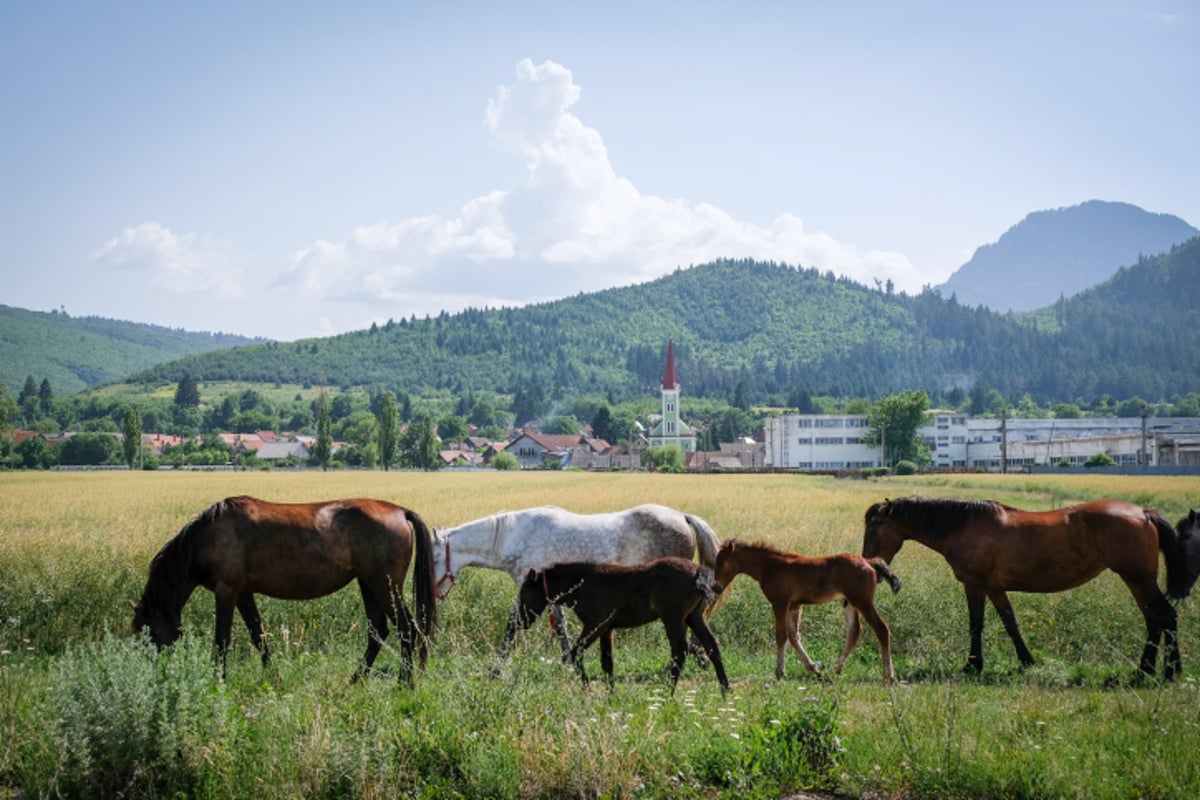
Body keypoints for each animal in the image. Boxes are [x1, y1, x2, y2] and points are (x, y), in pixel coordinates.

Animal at [130, 496, 436, 686]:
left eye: (148, 630)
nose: (152, 675)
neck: (208, 538)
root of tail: (400, 511)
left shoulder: (226, 591)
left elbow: (222, 640)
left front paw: (219, 681)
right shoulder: (243, 594)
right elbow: (258, 636)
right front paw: (274, 678)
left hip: (384, 585)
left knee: (406, 629)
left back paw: (404, 683)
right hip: (368, 584)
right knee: (378, 630)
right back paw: (355, 681)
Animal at [436, 503, 720, 662]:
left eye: (435, 556)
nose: (435, 594)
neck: (514, 535)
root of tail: (682, 516)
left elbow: (514, 624)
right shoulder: (550, 593)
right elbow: (560, 625)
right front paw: (566, 658)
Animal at [508, 556, 729, 695]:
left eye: (525, 593)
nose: (516, 622)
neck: (584, 584)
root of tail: (699, 571)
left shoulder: (596, 625)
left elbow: (576, 652)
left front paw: (587, 689)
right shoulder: (607, 629)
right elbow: (607, 663)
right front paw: (611, 695)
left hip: (673, 619)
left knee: (679, 651)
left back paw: (668, 693)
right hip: (694, 617)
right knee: (712, 646)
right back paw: (726, 692)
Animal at [710, 537, 902, 681]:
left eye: (721, 564)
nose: (715, 587)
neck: (770, 566)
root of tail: (868, 561)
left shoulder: (780, 603)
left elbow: (781, 636)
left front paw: (779, 672)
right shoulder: (794, 606)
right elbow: (794, 637)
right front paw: (814, 669)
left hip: (862, 602)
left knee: (882, 629)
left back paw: (889, 675)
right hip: (849, 603)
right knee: (854, 632)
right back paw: (836, 670)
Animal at [864, 496, 1190, 681]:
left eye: (874, 526)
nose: (870, 566)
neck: (965, 525)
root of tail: (1144, 512)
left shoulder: (975, 585)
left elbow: (976, 625)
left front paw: (972, 665)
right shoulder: (994, 588)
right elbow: (1011, 623)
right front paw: (1026, 660)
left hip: (1138, 578)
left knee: (1165, 617)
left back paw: (1169, 671)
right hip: (1136, 581)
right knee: (1154, 620)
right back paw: (1146, 670)